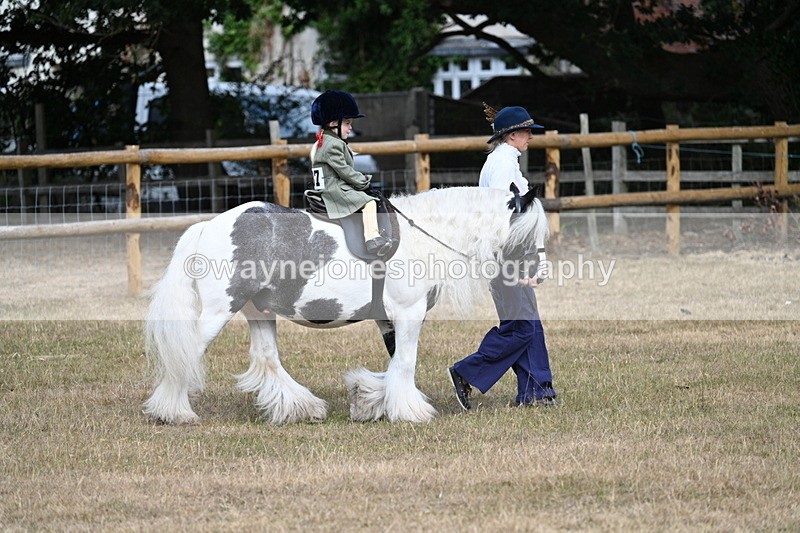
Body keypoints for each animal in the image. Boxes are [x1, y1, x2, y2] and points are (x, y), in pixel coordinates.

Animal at [143, 186, 549, 424]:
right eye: (531, 232)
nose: (539, 275)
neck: (422, 236)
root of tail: (208, 226)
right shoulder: (408, 313)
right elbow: (405, 362)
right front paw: (410, 411)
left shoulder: (389, 320)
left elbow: (394, 364)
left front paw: (370, 399)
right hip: (218, 312)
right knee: (186, 353)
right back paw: (174, 412)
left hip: (260, 312)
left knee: (267, 359)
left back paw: (302, 408)